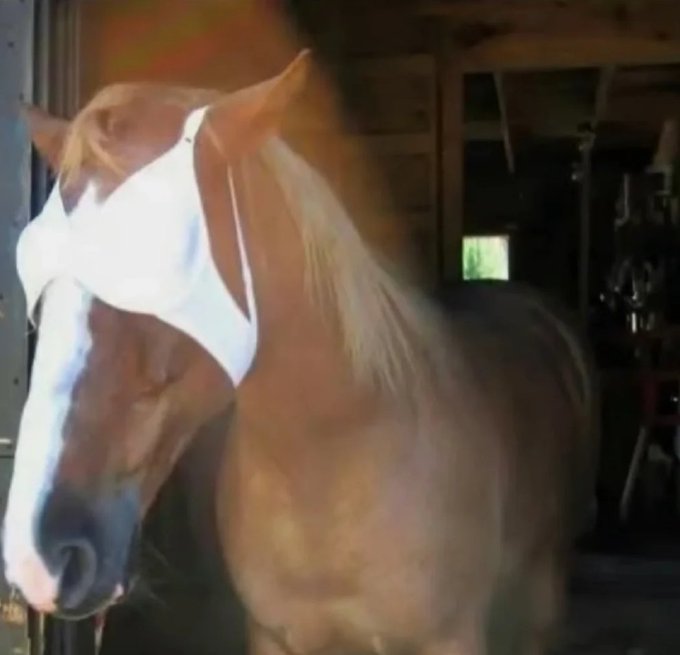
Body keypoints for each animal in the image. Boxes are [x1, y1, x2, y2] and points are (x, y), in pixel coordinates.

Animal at [3, 51, 599, 655]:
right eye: (34, 261)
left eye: (167, 252)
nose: (41, 555)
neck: (330, 460)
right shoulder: (275, 635)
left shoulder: (450, 638)